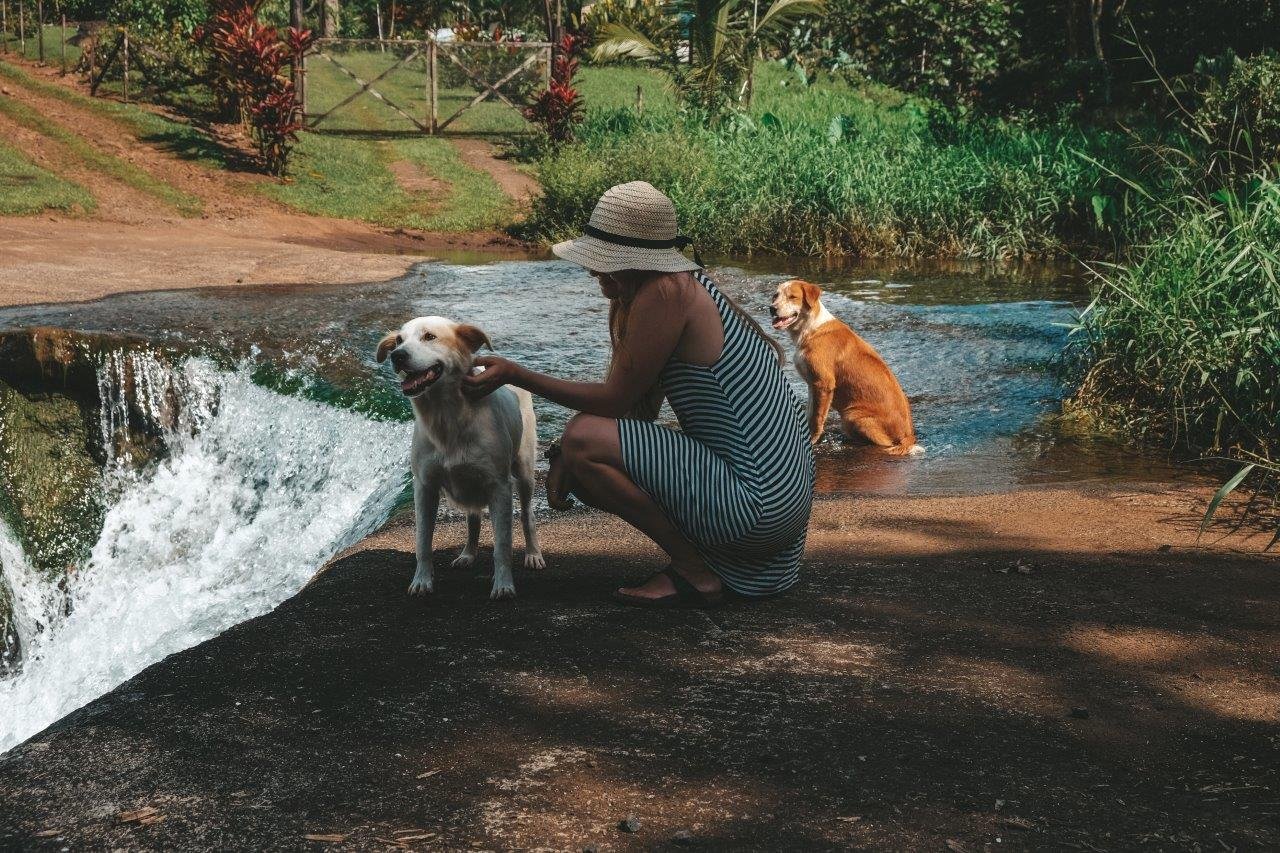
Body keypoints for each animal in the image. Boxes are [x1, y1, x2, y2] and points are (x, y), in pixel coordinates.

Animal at [373, 315, 545, 601]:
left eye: (429, 336)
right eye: (398, 340)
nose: (397, 356)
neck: (447, 418)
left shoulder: (500, 486)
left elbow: (502, 545)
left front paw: (503, 585)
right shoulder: (424, 486)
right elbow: (422, 542)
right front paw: (422, 581)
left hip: (524, 471)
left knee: (527, 515)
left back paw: (533, 554)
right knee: (473, 518)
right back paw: (468, 554)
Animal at [768, 277, 921, 450]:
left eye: (792, 297)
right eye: (775, 296)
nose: (772, 309)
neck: (811, 329)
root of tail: (908, 436)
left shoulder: (824, 383)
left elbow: (817, 417)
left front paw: (813, 440)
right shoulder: (812, 384)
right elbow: (810, 412)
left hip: (851, 415)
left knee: (883, 443)